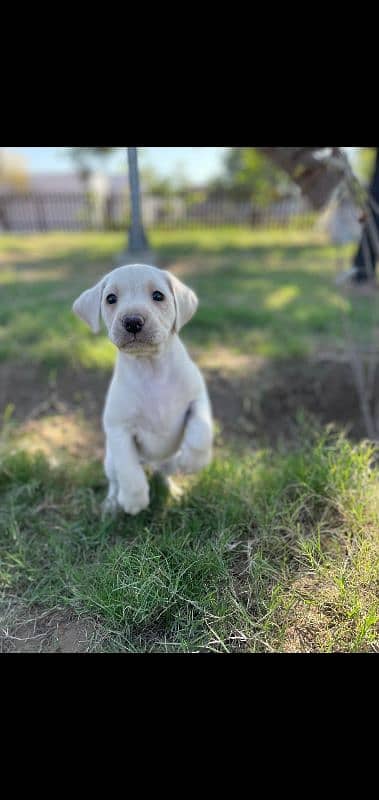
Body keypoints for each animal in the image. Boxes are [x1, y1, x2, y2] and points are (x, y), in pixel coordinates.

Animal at [73, 266, 214, 516]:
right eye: (111, 299)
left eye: (158, 296)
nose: (132, 321)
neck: (151, 368)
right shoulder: (119, 429)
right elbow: (129, 471)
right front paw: (134, 501)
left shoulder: (198, 399)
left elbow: (201, 432)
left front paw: (193, 462)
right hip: (110, 462)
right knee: (116, 481)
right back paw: (112, 505)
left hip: (167, 460)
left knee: (163, 473)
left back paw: (173, 491)